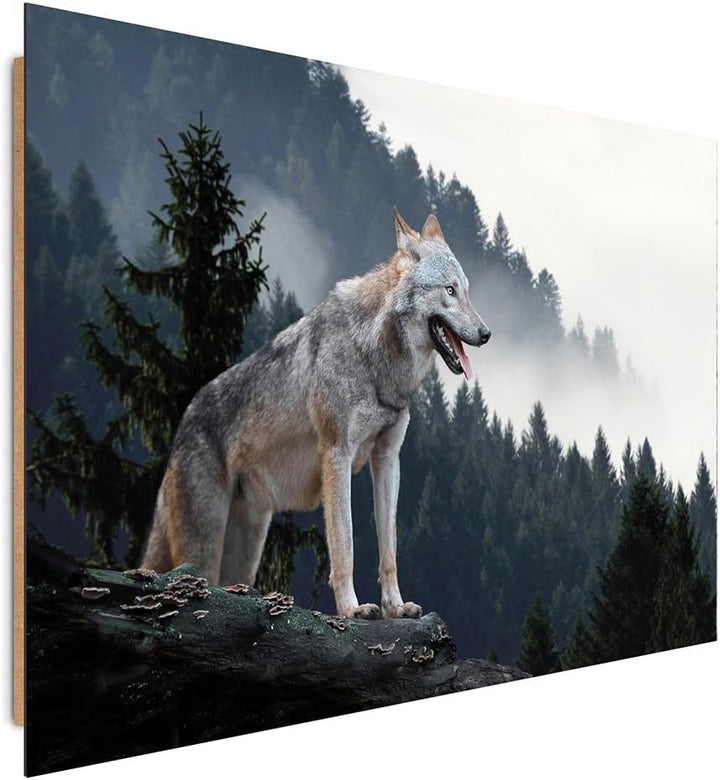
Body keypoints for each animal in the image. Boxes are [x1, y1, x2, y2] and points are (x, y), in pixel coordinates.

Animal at [142, 209, 491, 619]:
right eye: (449, 291)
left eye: (466, 290)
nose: (486, 333)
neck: (374, 356)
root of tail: (184, 422)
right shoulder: (336, 455)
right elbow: (345, 546)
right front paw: (352, 609)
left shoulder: (387, 459)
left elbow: (388, 549)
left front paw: (395, 606)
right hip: (204, 547)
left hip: (246, 551)